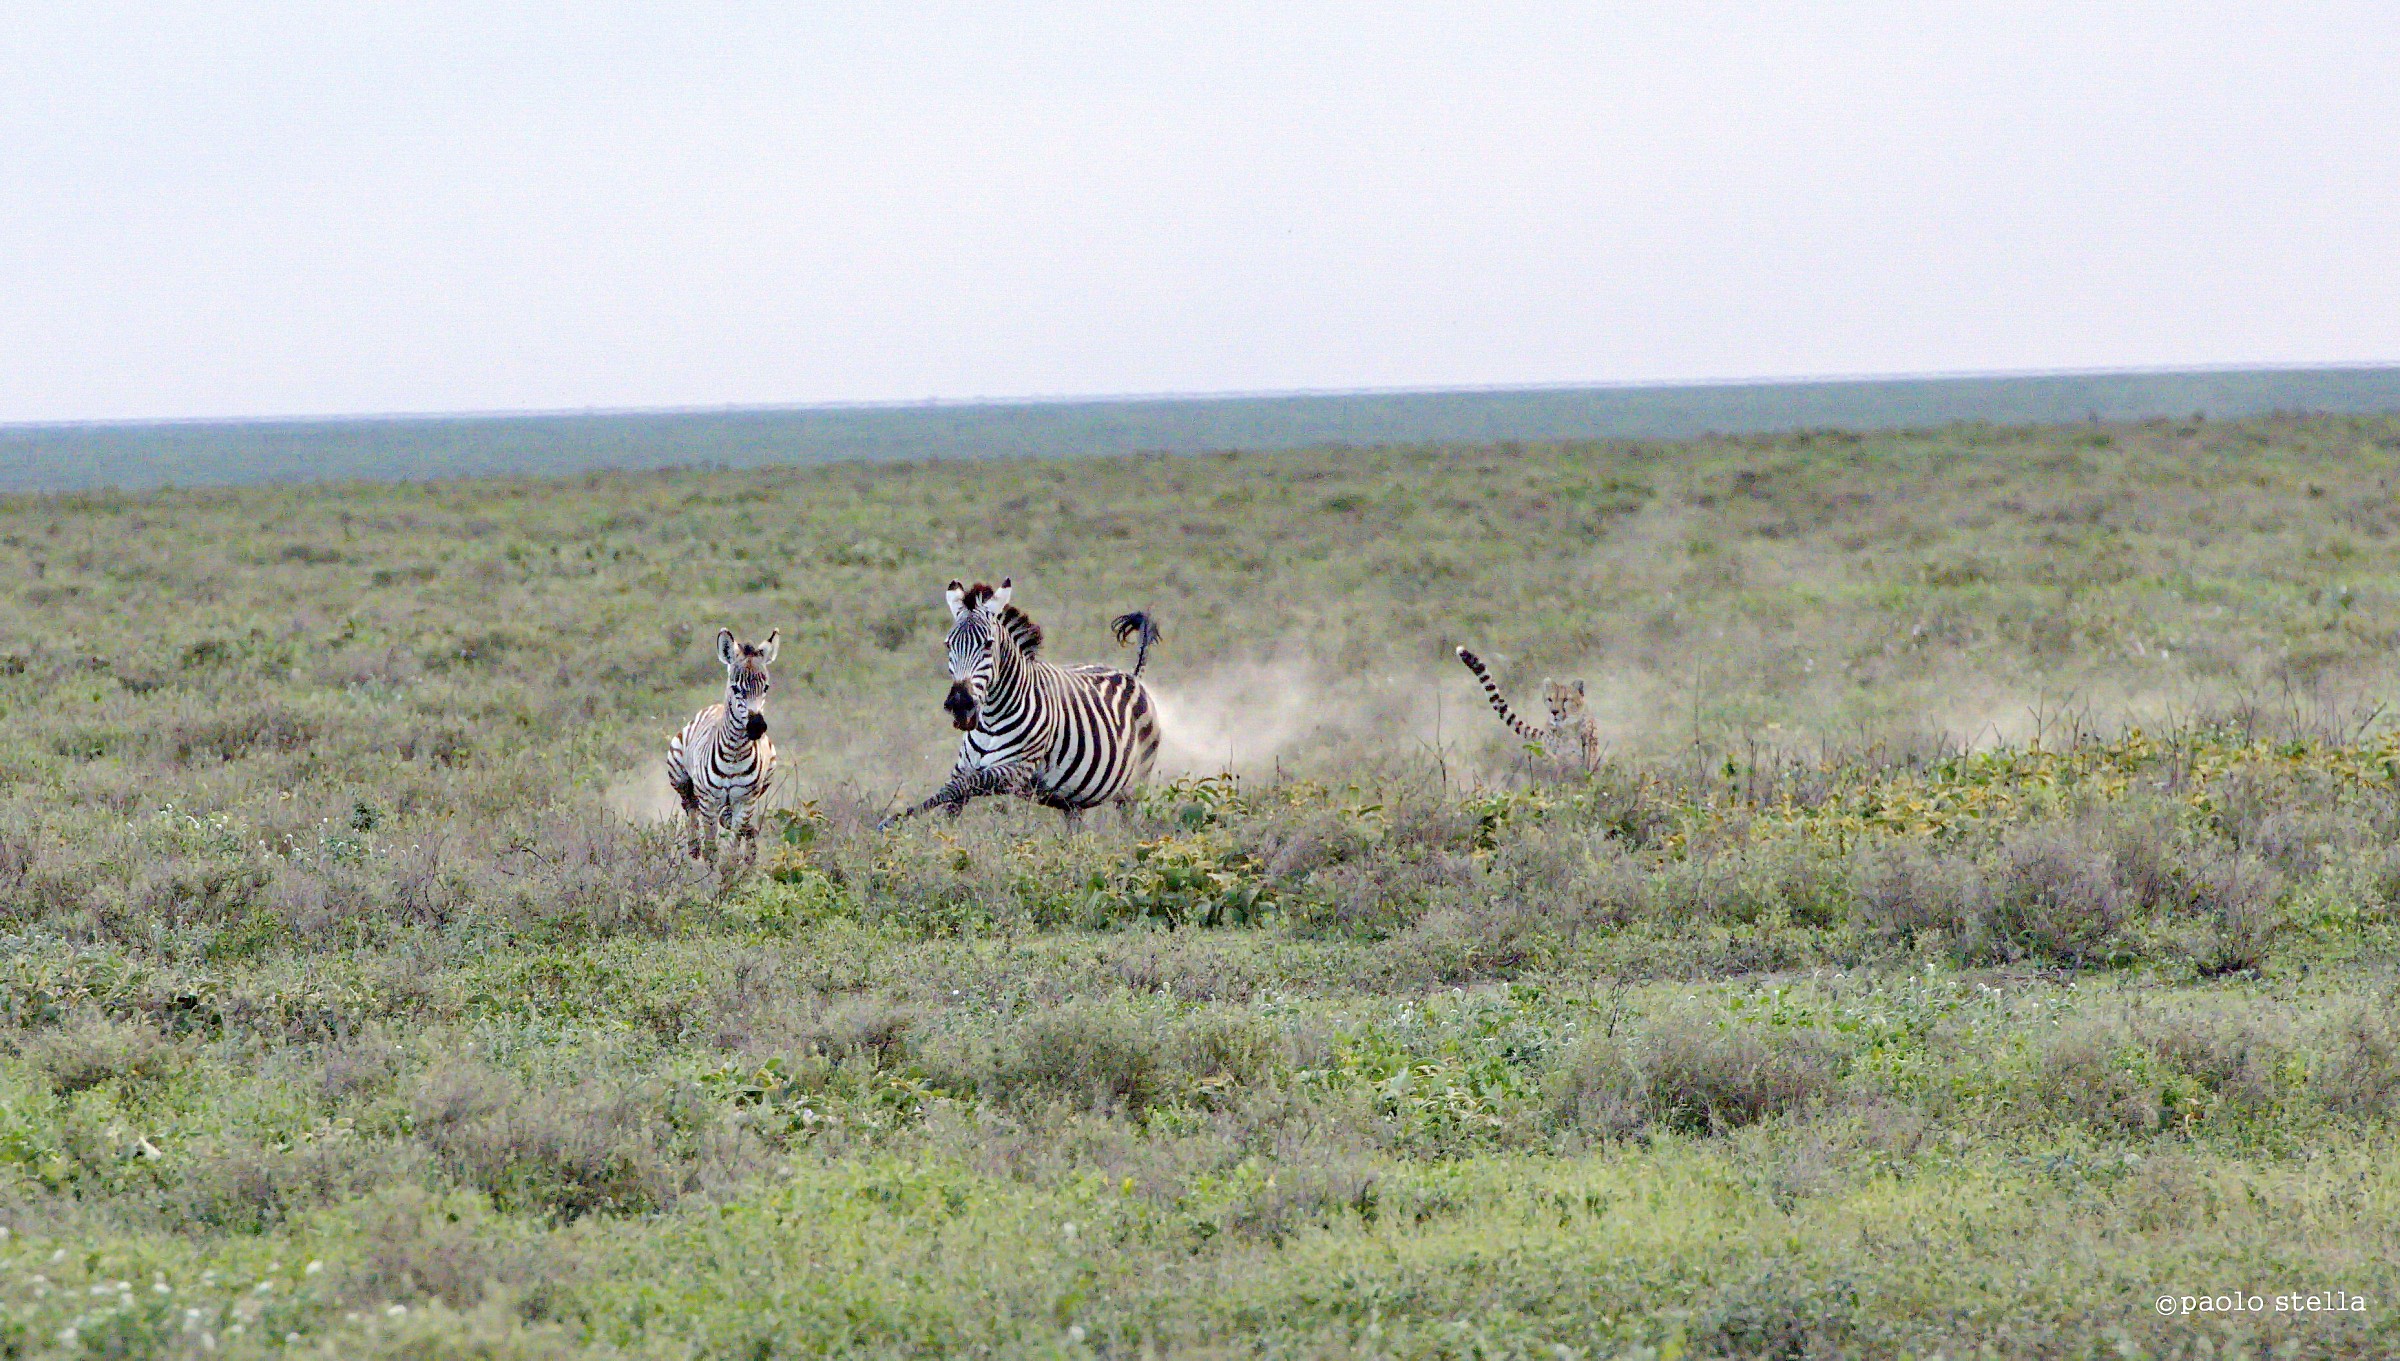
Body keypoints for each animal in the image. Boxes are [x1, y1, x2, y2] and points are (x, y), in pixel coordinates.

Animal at [666, 628, 779, 865]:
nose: (757, 726)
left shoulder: (744, 802)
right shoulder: (709, 802)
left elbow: (733, 848)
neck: (735, 753)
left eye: (765, 687)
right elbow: (711, 849)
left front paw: (732, 869)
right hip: (680, 776)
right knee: (689, 807)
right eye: (736, 688)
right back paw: (693, 850)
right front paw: (709, 873)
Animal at [882, 577, 1162, 827]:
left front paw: (896, 819)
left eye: (988, 644)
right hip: (1074, 798)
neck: (991, 717)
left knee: (1127, 824)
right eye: (948, 645)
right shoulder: (964, 766)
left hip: (1134, 787)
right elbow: (952, 795)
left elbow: (962, 786)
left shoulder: (1016, 770)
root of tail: (1132, 676)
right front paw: (941, 836)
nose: (960, 704)